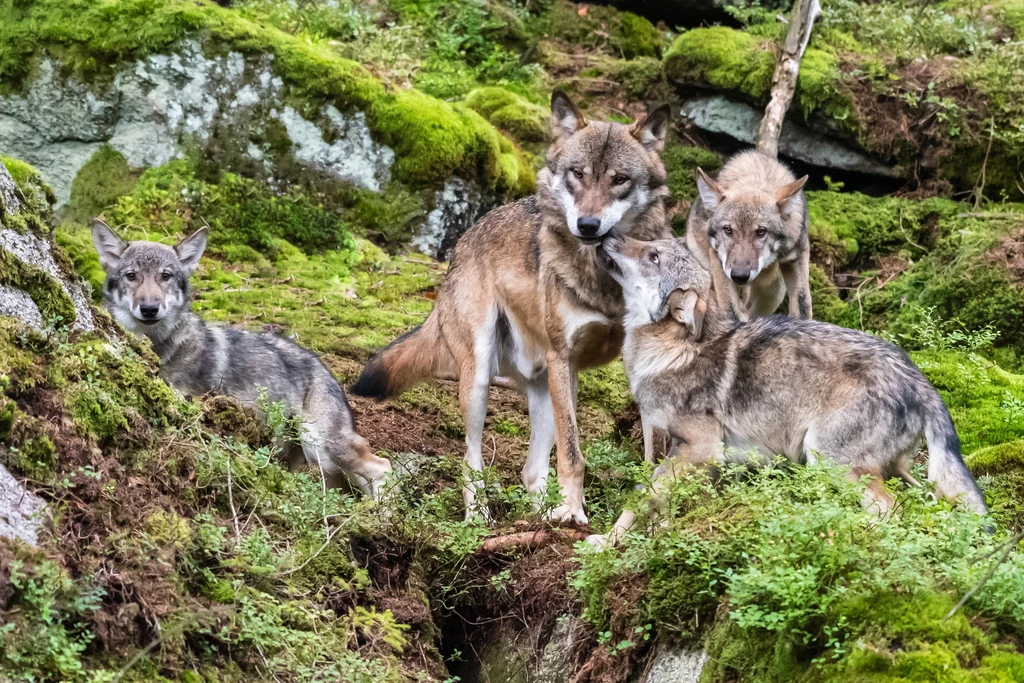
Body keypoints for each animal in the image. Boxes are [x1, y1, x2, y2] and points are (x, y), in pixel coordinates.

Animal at [91, 219, 391, 497]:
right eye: (132, 275)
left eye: (165, 276)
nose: (150, 308)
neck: (158, 345)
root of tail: (328, 373)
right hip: (317, 459)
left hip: (322, 446)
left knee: (383, 467)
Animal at [352, 90, 671, 524]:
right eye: (577, 174)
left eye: (619, 179)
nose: (587, 225)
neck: (607, 280)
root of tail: (464, 240)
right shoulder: (563, 357)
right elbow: (573, 455)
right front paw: (573, 513)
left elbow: (655, 457)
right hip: (481, 378)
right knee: (470, 459)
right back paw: (480, 519)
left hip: (545, 390)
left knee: (531, 470)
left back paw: (537, 517)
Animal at [589, 237, 987, 548]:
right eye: (651, 244)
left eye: (653, 256)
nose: (606, 236)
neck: (672, 350)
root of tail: (920, 380)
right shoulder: (693, 456)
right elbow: (657, 502)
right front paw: (645, 537)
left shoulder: (700, 450)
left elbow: (640, 496)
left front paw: (606, 544)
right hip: (893, 470)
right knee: (921, 502)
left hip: (828, 459)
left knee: (891, 509)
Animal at [684, 150, 811, 321]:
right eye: (728, 230)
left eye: (761, 231)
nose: (739, 276)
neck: (756, 179)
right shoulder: (718, 260)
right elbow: (731, 311)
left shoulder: (798, 254)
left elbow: (803, 306)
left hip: (773, 293)